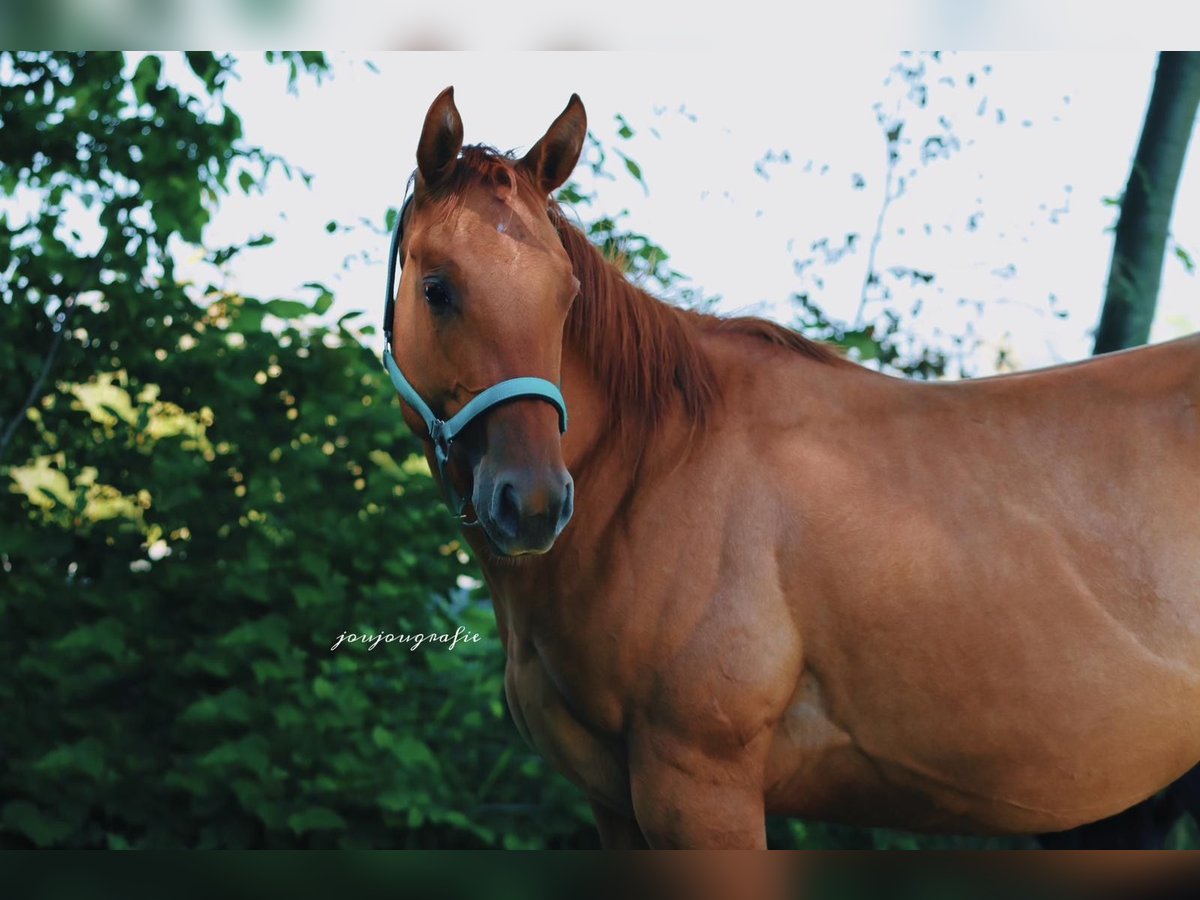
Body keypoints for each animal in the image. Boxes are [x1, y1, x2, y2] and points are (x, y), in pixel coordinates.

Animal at [381, 88, 1200, 849]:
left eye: (566, 296)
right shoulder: (613, 803)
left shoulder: (699, 790)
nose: (535, 504)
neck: (653, 472)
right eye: (437, 288)